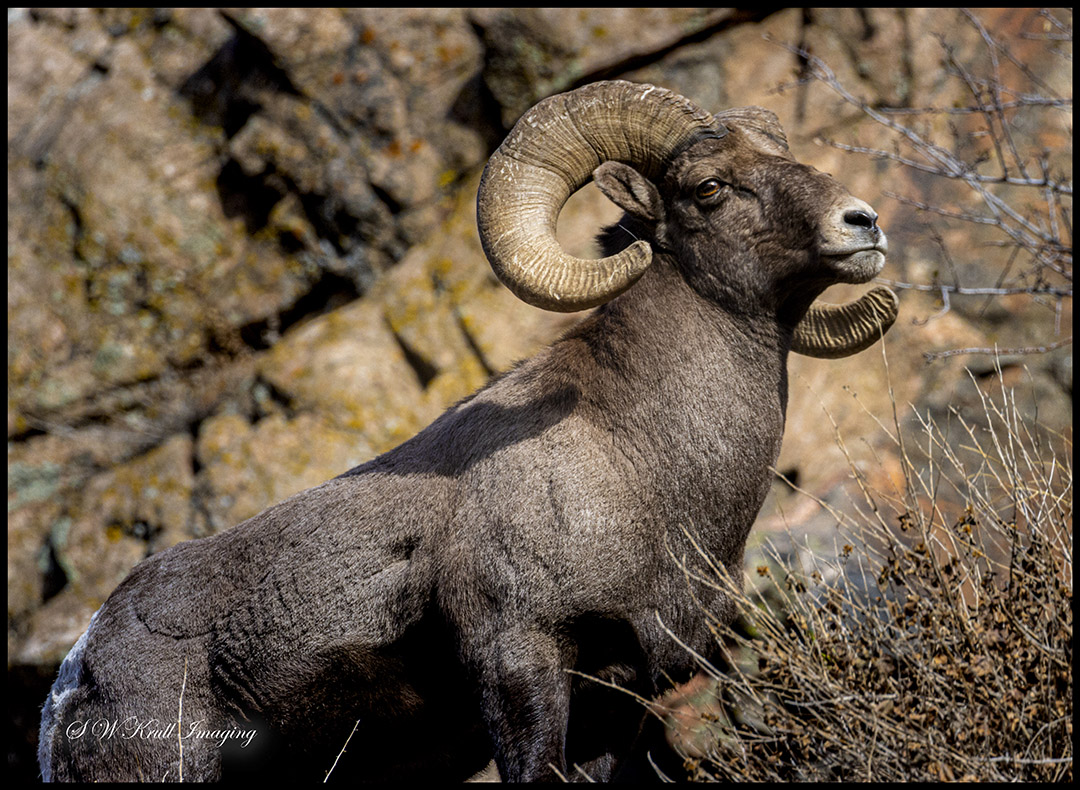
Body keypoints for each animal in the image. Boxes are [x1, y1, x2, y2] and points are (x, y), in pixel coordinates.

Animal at [38, 80, 898, 782]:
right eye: (709, 187)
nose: (863, 222)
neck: (642, 464)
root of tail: (76, 680)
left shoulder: (622, 696)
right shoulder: (521, 664)